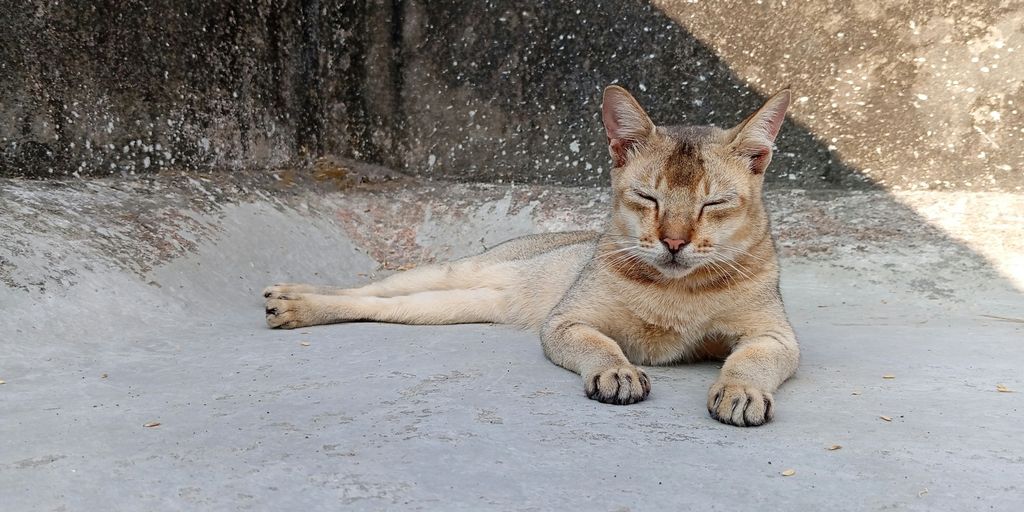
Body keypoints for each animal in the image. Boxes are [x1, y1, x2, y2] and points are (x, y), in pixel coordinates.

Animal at [264, 84, 798, 428]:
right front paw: (617, 370)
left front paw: (742, 390)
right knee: (373, 287)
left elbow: (752, 359)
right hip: (456, 269)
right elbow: (600, 345)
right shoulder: (566, 321)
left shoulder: (777, 336)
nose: (673, 242)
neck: (676, 290)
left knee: (382, 307)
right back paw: (293, 298)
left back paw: (296, 304)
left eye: (714, 203)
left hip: (451, 306)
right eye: (648, 198)